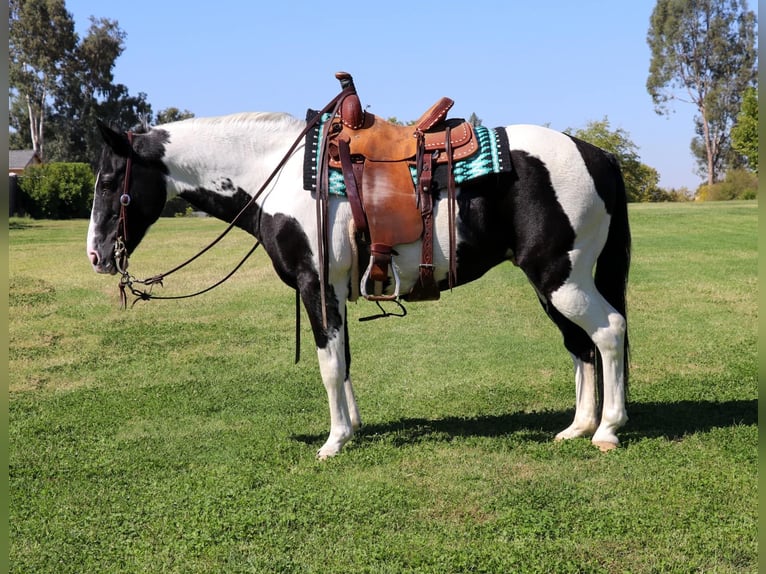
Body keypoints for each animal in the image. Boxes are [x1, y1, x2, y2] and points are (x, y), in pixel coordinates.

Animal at [88, 93, 632, 460]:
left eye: (111, 181)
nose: (95, 255)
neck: (280, 176)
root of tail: (598, 155)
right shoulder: (333, 292)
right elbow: (344, 360)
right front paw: (353, 428)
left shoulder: (315, 287)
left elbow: (329, 365)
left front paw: (333, 442)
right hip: (551, 283)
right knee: (580, 345)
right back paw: (577, 428)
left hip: (562, 279)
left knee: (608, 333)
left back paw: (607, 430)